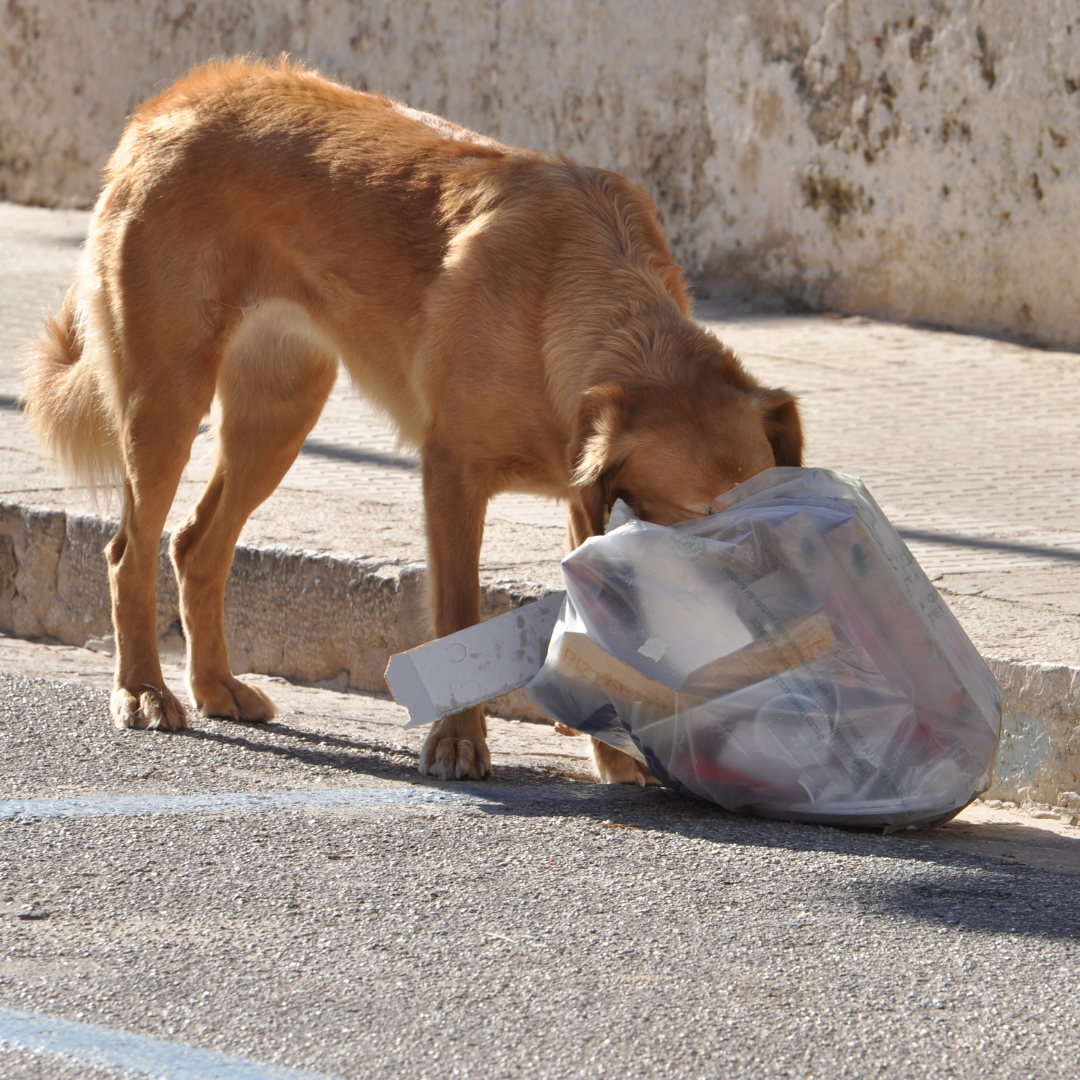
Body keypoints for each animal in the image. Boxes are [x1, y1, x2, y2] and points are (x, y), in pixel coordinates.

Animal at [19, 56, 803, 786]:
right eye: (701, 523)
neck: (592, 308)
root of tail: (172, 101)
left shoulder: (588, 499)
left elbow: (595, 635)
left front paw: (613, 754)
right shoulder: (452, 474)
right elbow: (457, 611)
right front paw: (457, 741)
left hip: (278, 415)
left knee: (194, 546)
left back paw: (213, 685)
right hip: (167, 399)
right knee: (129, 551)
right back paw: (143, 690)